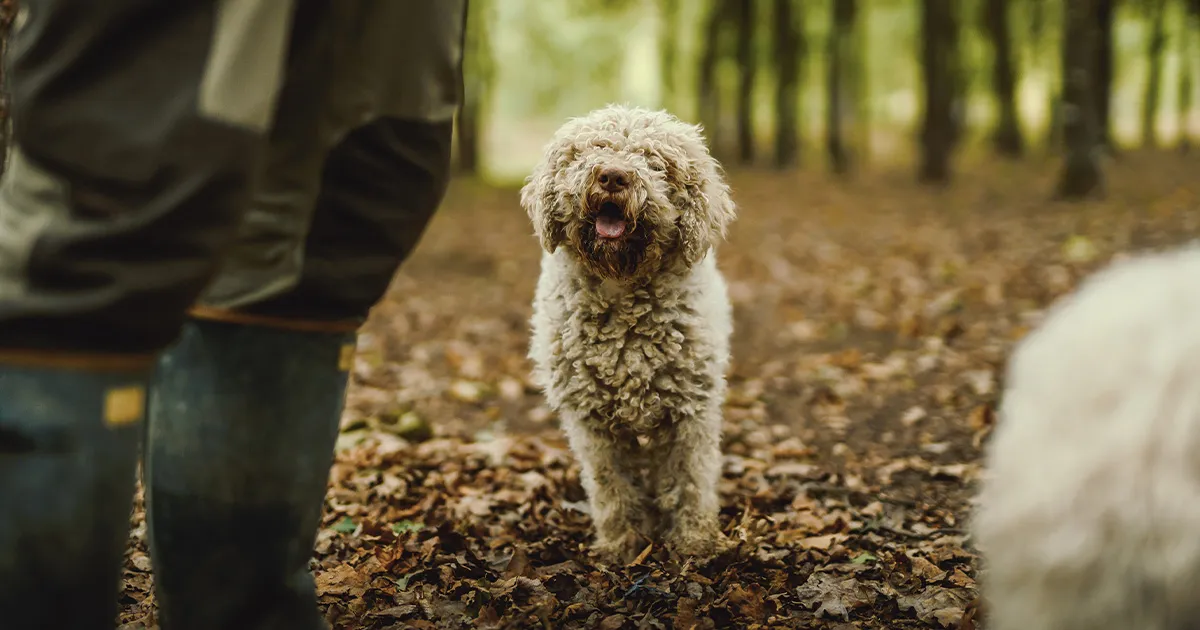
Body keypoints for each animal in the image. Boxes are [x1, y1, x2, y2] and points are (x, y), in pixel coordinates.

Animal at [520, 105, 734, 561]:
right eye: (594, 148)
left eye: (655, 161)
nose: (614, 176)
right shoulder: (591, 422)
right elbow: (611, 486)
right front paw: (621, 543)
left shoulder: (690, 412)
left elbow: (691, 478)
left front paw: (694, 540)